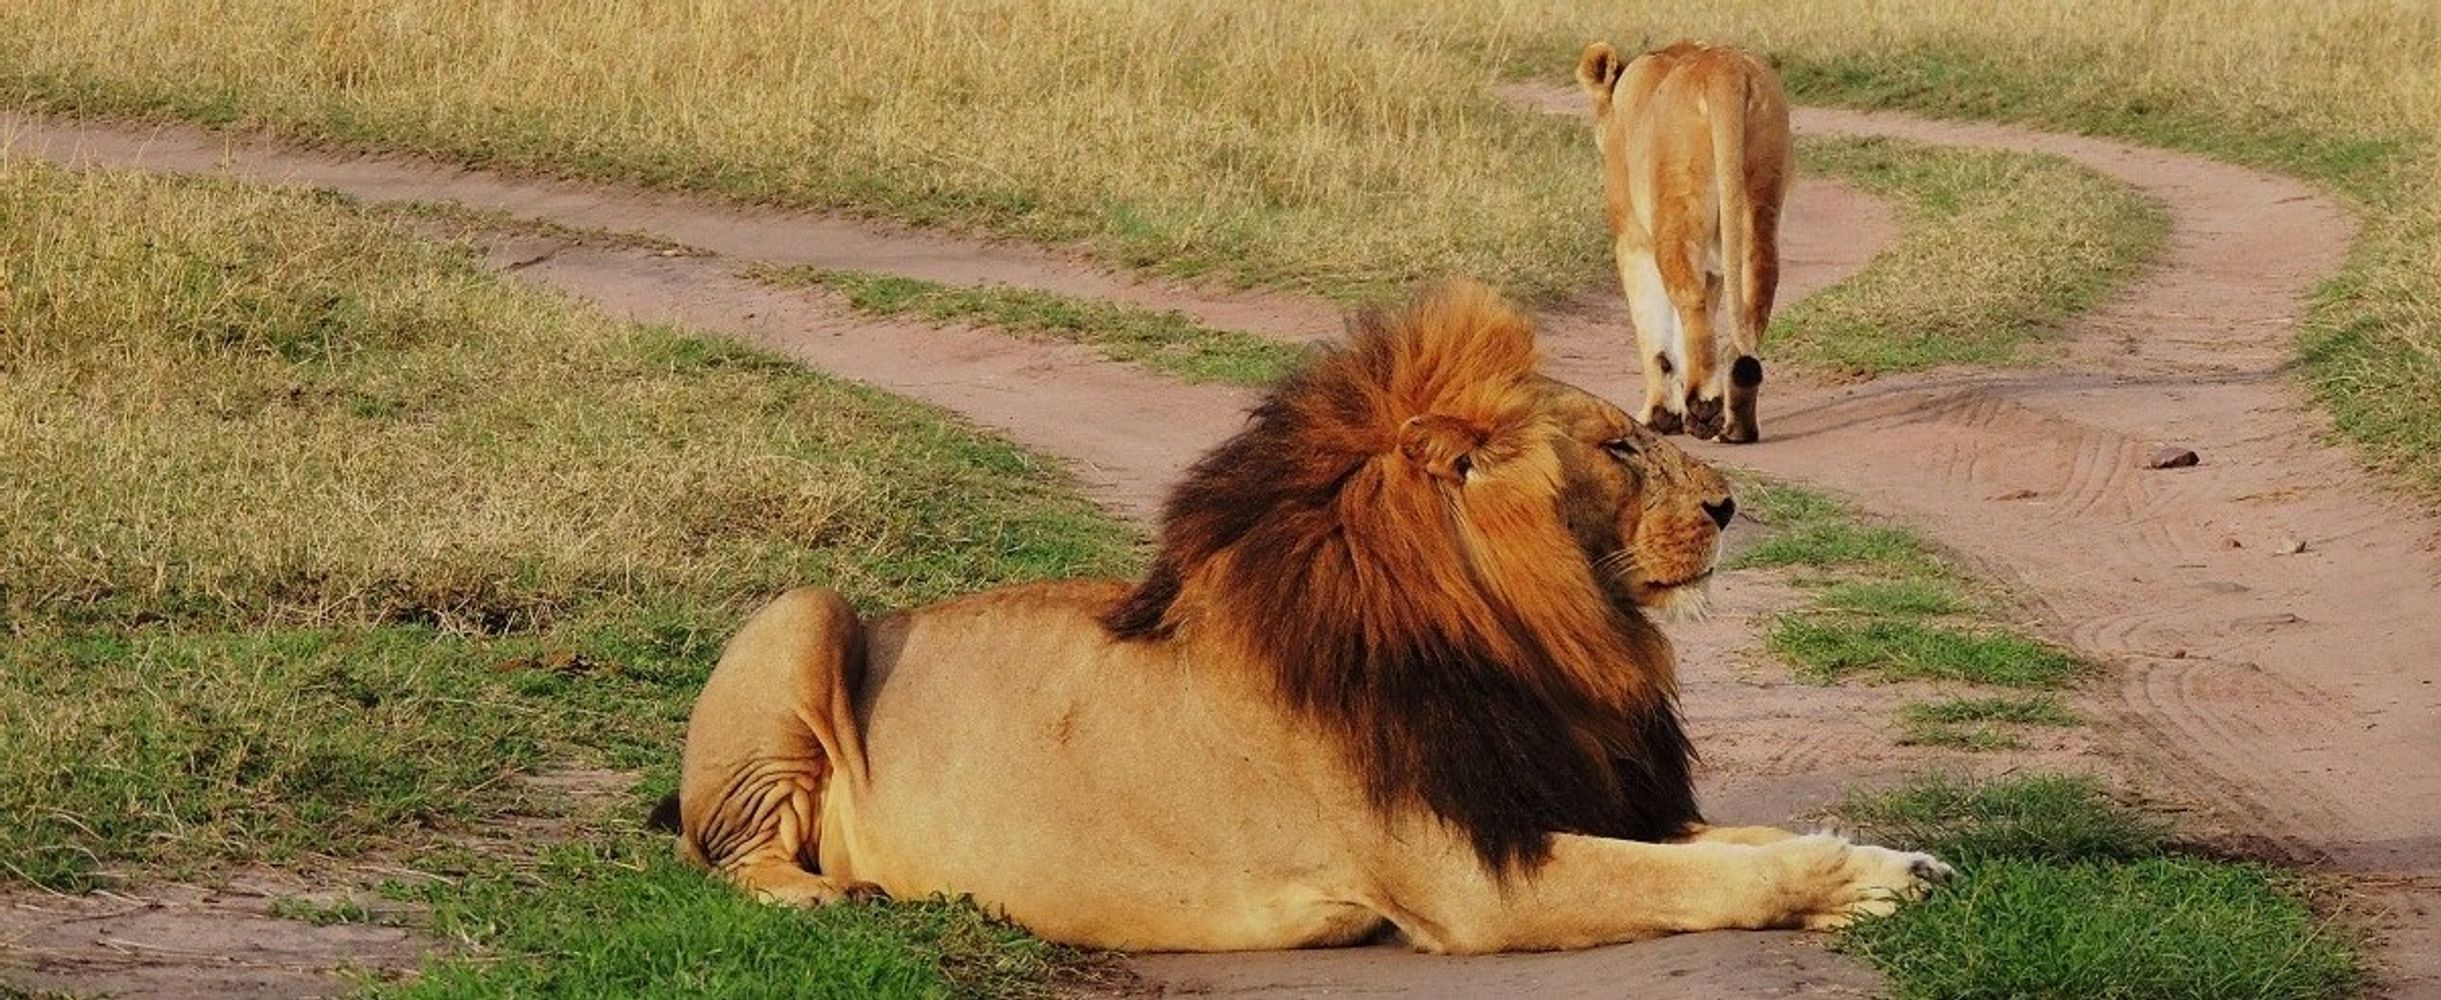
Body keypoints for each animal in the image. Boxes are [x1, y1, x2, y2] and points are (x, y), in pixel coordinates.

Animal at [663, 282, 1943, 951]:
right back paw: (833, 893)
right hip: (803, 610)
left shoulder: (1541, 800)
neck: (1532, 643)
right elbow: (1708, 880)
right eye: (1621, 444)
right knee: (721, 855)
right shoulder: (1474, 883)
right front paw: (1851, 880)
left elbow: (1742, 838)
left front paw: (1898, 855)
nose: (1729, 505)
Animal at [1581, 39, 1796, 441]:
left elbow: (1655, 331)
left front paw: (1660, 415)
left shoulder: (1632, 241)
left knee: (1689, 300)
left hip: (1677, 205)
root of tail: (1725, 71)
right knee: (1757, 291)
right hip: (1760, 195)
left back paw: (1703, 407)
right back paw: (1736, 425)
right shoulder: (1715, 266)